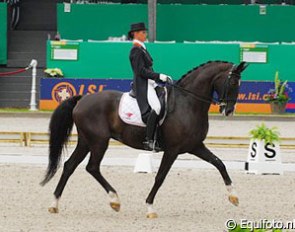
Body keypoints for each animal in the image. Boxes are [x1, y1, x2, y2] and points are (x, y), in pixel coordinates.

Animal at [41, 59, 249, 218]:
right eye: (232, 83)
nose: (229, 110)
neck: (188, 103)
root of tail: (82, 99)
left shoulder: (195, 146)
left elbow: (219, 163)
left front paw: (234, 197)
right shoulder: (173, 150)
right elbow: (160, 177)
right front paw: (150, 208)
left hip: (86, 141)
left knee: (70, 166)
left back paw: (54, 204)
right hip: (99, 141)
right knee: (91, 167)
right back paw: (114, 200)